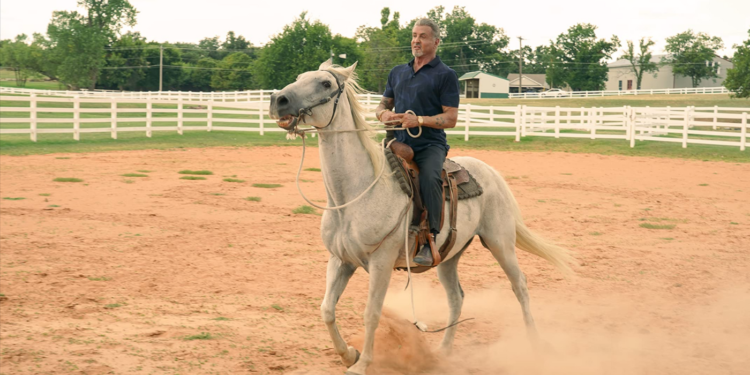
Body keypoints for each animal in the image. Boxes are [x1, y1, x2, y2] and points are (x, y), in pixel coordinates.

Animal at [272, 60, 576, 374]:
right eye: (299, 77)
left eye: (325, 84)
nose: (278, 100)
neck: (354, 195)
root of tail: (491, 173)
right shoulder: (340, 260)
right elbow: (327, 309)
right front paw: (349, 354)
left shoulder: (381, 262)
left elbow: (371, 313)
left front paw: (362, 363)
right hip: (448, 256)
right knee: (456, 298)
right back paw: (443, 352)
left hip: (501, 243)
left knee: (520, 286)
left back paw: (535, 347)